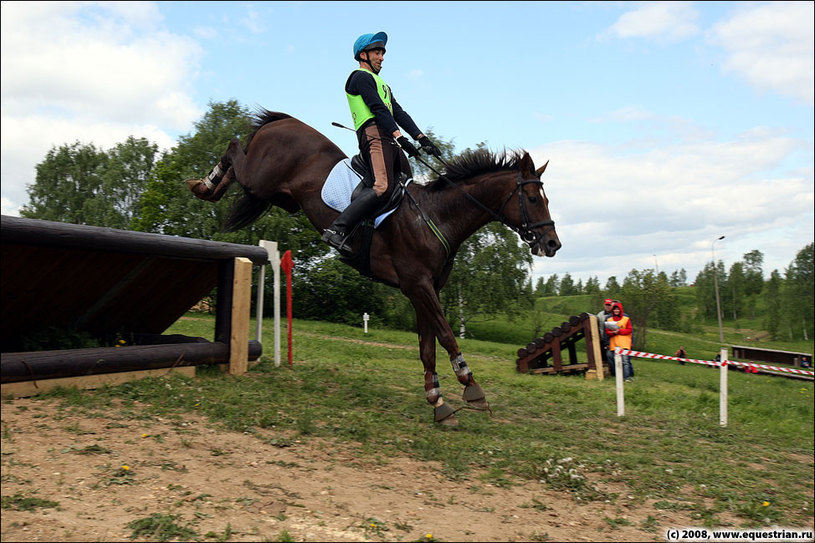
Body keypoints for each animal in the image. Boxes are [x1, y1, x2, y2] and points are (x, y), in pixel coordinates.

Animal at [188, 109, 560, 424]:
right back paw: (205, 185)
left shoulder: (424, 290)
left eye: (545, 199)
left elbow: (427, 346)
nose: (553, 244)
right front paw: (471, 387)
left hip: (278, 197)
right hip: (260, 179)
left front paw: (437, 401)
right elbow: (446, 334)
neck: (436, 216)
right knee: (234, 149)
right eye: (532, 199)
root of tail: (283, 121)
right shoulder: (418, 285)